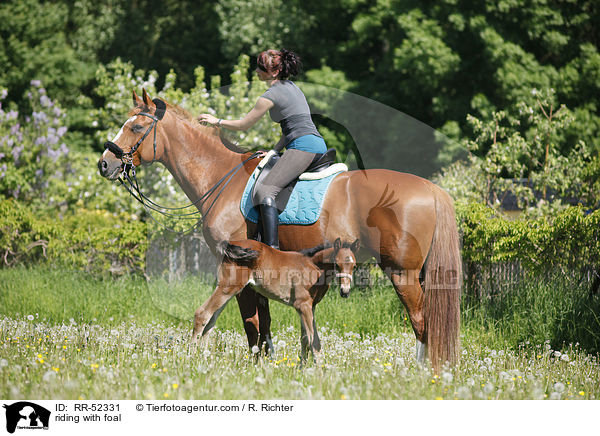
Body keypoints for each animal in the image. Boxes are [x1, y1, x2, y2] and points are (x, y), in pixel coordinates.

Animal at [193, 238, 356, 362]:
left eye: (354, 265)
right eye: (337, 264)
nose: (345, 292)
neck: (313, 265)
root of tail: (230, 244)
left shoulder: (310, 306)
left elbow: (304, 338)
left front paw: (302, 368)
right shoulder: (302, 305)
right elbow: (313, 340)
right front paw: (321, 370)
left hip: (230, 290)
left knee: (211, 320)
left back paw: (204, 357)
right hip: (228, 287)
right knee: (202, 314)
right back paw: (191, 355)